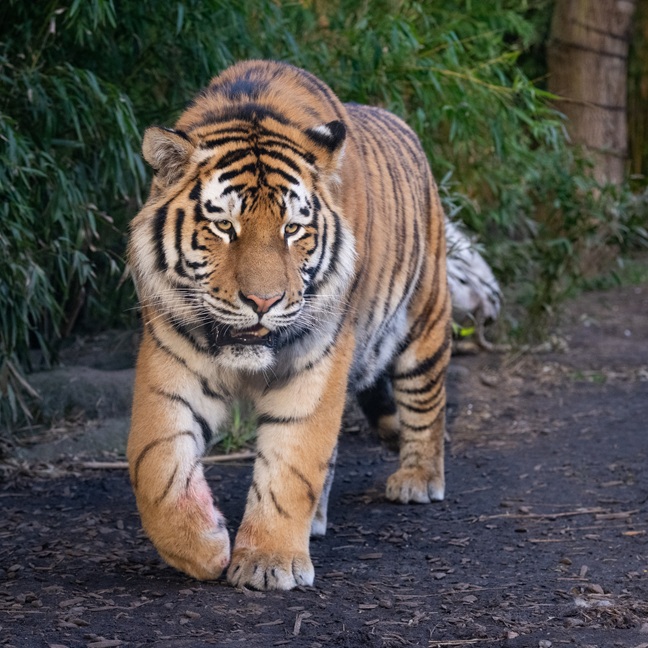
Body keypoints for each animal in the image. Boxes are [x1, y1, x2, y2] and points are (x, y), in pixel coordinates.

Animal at [127, 59, 451, 590]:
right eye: (224, 226)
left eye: (293, 229)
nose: (263, 301)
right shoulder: (170, 356)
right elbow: (154, 463)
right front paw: (202, 546)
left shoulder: (319, 358)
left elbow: (293, 461)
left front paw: (267, 561)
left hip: (424, 318)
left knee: (426, 401)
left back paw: (418, 479)